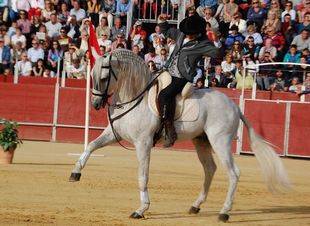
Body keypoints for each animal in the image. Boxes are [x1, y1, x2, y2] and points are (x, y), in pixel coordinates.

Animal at [69, 50, 292, 222]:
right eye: (92, 75)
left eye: (104, 78)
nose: (95, 104)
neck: (134, 97)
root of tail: (235, 106)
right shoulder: (113, 135)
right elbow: (90, 145)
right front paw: (75, 173)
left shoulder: (143, 143)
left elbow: (143, 175)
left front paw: (141, 210)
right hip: (201, 142)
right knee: (210, 169)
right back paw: (196, 205)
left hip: (220, 142)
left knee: (233, 173)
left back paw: (224, 212)